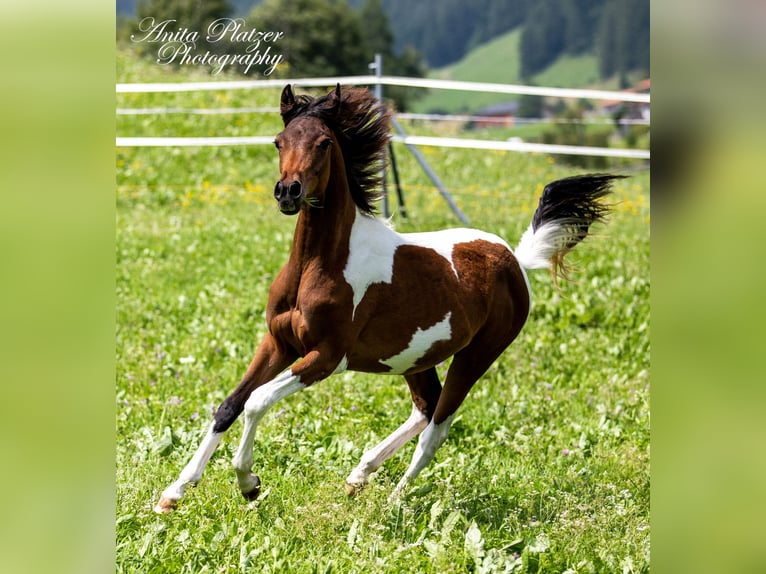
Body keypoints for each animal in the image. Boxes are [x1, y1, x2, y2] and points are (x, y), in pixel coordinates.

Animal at [154, 84, 619, 513]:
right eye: (278, 141)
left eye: (324, 143)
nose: (288, 192)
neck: (320, 264)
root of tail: (514, 259)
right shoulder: (279, 342)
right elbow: (229, 405)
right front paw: (173, 493)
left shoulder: (327, 357)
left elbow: (257, 401)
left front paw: (248, 482)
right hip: (416, 356)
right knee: (426, 407)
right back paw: (359, 475)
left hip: (478, 354)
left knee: (438, 427)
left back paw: (396, 498)